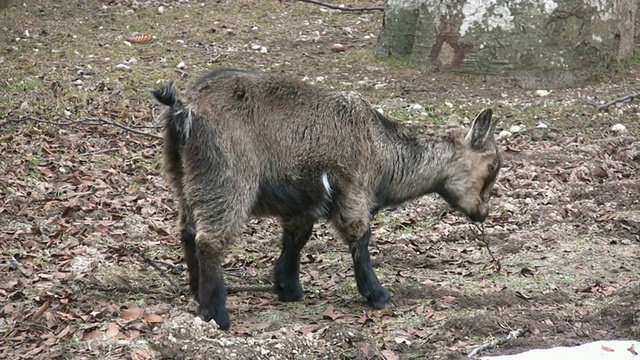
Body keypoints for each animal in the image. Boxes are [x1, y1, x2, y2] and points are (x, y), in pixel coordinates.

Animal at [152, 67, 502, 330]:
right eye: (492, 166)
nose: (483, 213)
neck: (384, 148)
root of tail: (185, 106)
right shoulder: (353, 191)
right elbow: (360, 238)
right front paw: (377, 295)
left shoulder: (302, 204)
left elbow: (296, 239)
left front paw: (288, 288)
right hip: (227, 177)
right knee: (210, 240)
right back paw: (217, 314)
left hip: (182, 177)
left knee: (187, 232)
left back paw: (197, 293)